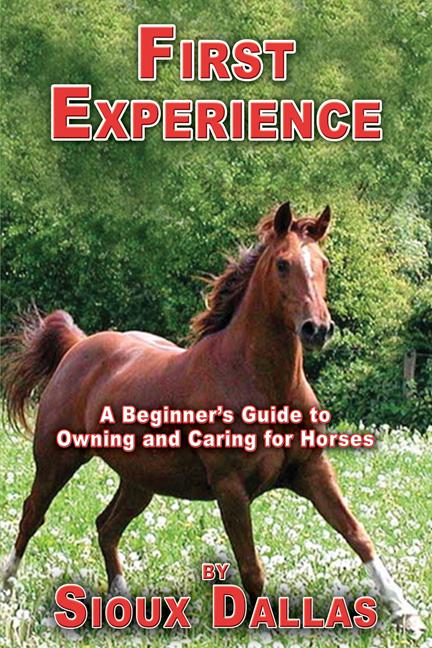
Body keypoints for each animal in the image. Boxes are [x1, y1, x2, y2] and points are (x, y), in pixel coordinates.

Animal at [1, 202, 424, 636]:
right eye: (283, 264)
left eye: (323, 264)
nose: (317, 329)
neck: (261, 383)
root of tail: (79, 346)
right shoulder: (231, 487)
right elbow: (251, 567)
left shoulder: (313, 471)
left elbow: (358, 535)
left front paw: (405, 613)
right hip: (57, 460)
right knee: (32, 514)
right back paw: (10, 589)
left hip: (140, 480)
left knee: (107, 525)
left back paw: (122, 603)